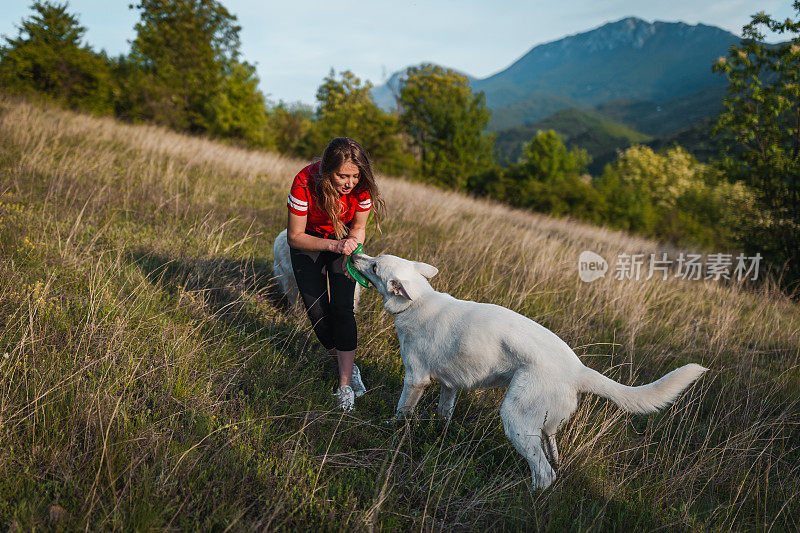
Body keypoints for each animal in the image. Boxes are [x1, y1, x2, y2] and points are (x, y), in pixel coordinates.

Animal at [350, 251, 708, 488]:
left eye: (374, 265)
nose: (354, 254)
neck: (418, 301)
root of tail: (578, 370)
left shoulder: (415, 379)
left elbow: (401, 412)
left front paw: (390, 427)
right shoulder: (450, 386)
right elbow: (444, 414)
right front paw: (441, 434)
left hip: (515, 419)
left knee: (545, 473)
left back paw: (528, 497)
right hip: (542, 424)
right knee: (552, 453)